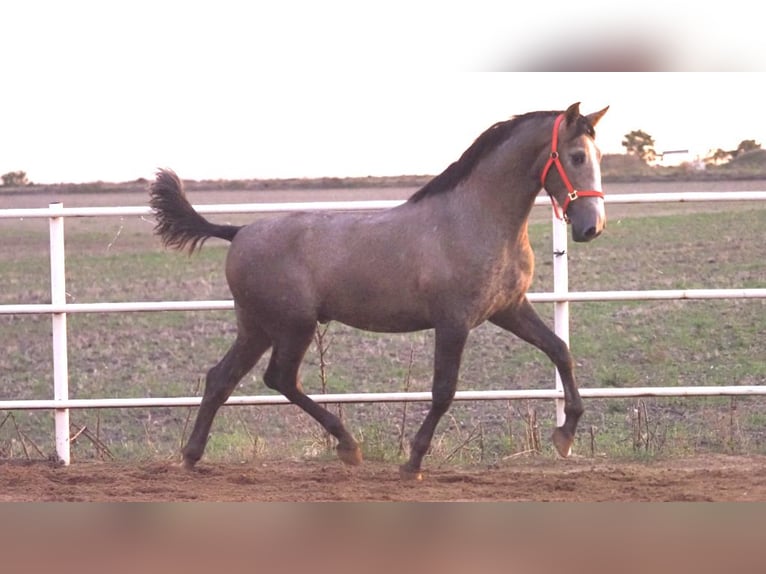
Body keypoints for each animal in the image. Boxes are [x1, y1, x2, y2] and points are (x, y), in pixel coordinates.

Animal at [150, 103, 608, 482]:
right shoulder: (453, 322)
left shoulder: (509, 309)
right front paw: (413, 462)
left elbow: (560, 351)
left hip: (258, 327)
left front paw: (565, 434)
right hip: (292, 326)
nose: (592, 227)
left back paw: (192, 456)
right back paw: (348, 446)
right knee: (278, 377)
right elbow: (443, 391)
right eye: (576, 156)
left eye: (599, 156)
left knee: (222, 378)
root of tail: (238, 231)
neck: (475, 219)